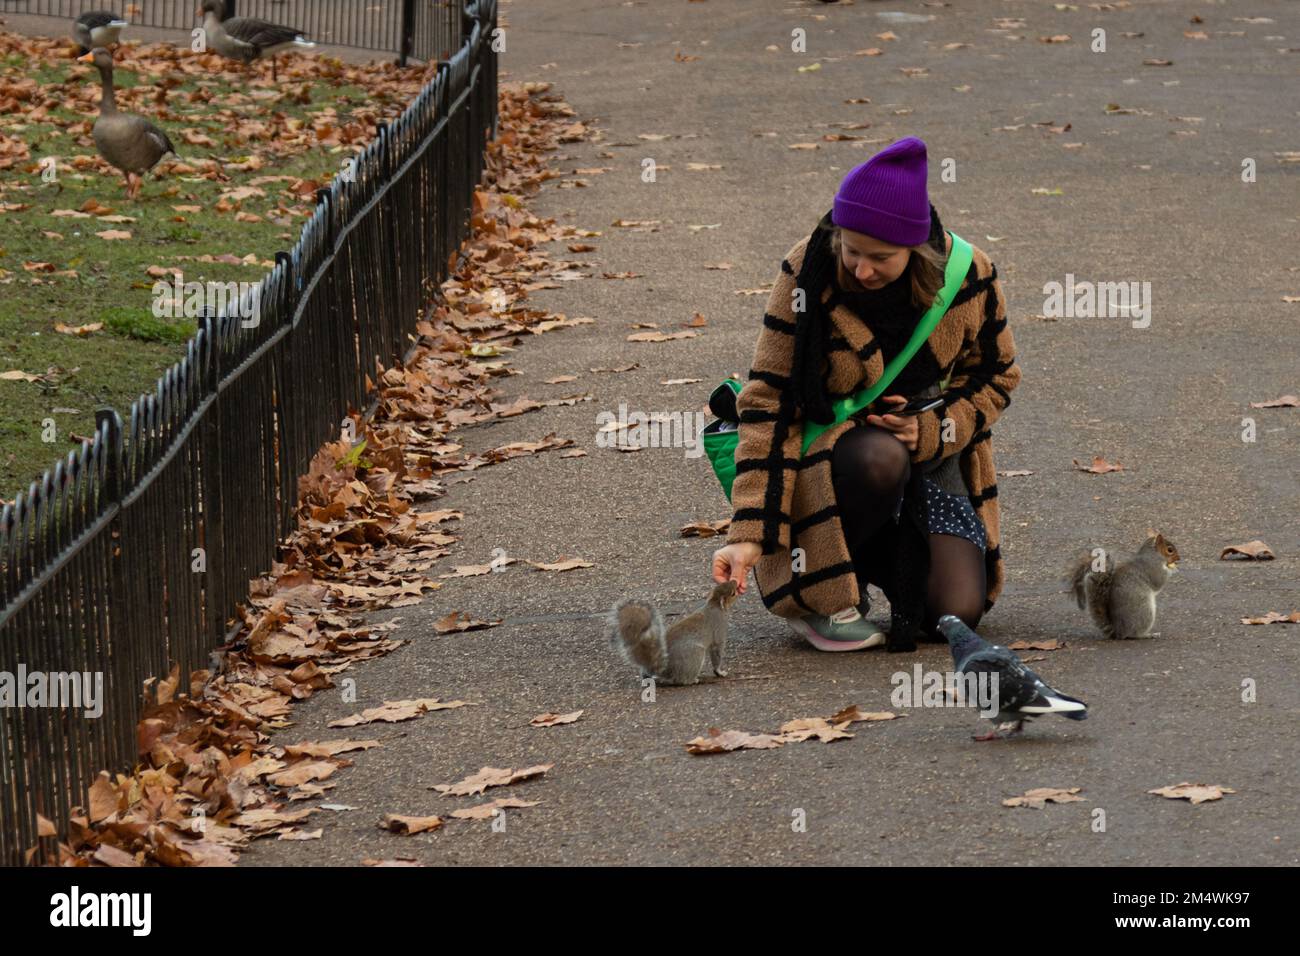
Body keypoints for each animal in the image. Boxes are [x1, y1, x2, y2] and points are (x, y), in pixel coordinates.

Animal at [608, 580, 739, 685]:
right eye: (732, 593)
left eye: (724, 583)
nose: (735, 581)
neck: (714, 604)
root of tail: (665, 669)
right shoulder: (719, 630)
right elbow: (717, 652)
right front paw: (720, 672)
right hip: (695, 654)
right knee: (683, 680)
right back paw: (694, 680)